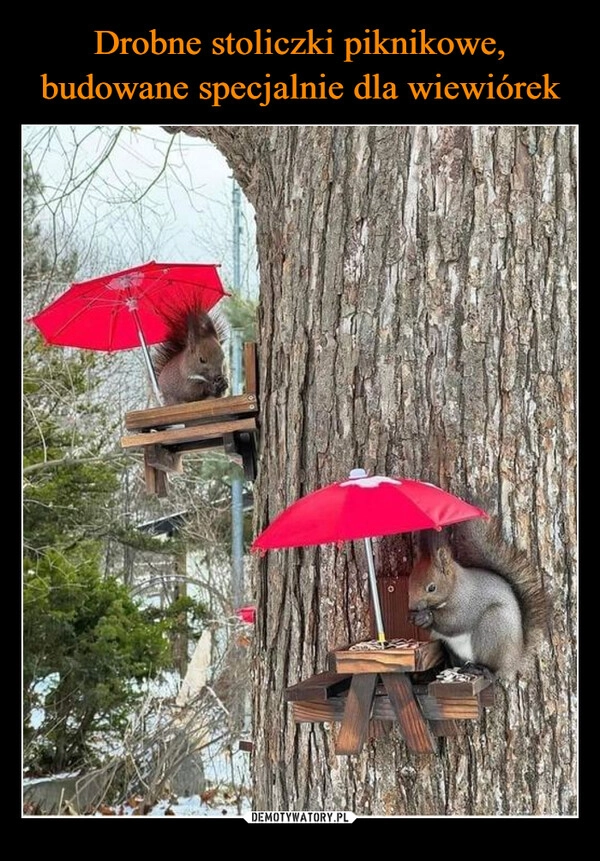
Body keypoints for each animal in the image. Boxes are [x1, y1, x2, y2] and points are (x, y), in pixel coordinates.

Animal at [408, 516, 548, 680]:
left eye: (431, 588)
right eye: (409, 582)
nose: (412, 607)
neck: (455, 587)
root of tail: (516, 659)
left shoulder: (467, 603)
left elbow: (455, 622)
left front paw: (426, 617)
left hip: (493, 626)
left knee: (494, 671)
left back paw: (481, 669)